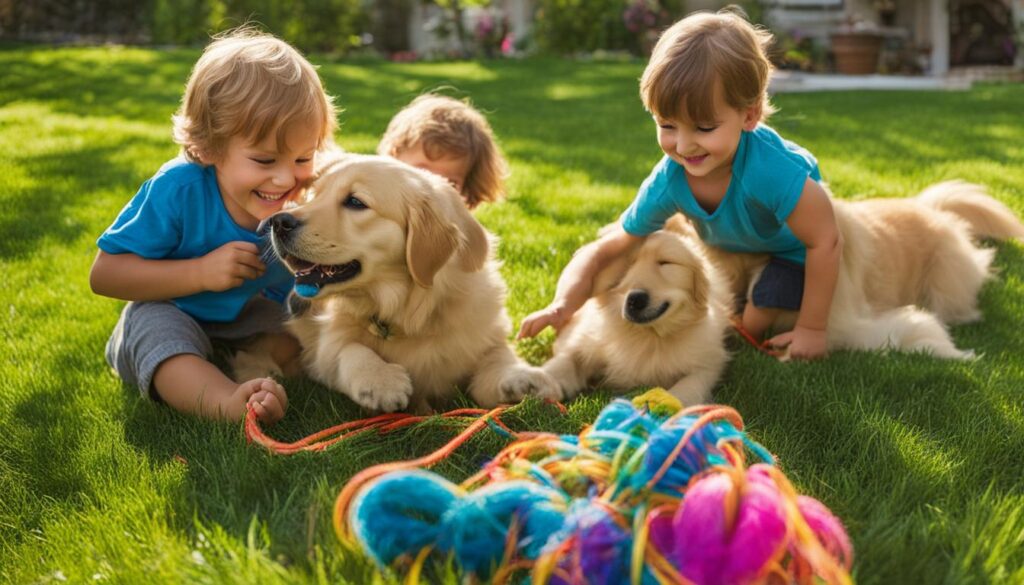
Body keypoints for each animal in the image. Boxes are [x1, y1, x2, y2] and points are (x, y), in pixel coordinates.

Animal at [260, 153, 557, 413]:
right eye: (313, 196)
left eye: (355, 202)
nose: (278, 221)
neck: (411, 308)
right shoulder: (324, 347)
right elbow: (347, 348)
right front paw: (380, 380)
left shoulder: (482, 333)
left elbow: (497, 357)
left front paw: (521, 377)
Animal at [540, 228, 733, 407]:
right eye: (628, 265)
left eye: (665, 262)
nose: (635, 300)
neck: (648, 336)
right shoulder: (585, 341)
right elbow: (566, 361)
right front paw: (538, 380)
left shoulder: (709, 364)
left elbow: (688, 386)